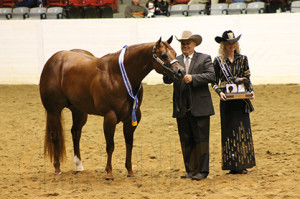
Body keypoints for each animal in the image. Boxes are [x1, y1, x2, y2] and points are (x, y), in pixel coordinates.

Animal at [39, 36, 185, 180]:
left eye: (175, 53)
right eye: (164, 55)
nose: (181, 72)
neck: (117, 76)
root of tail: (54, 59)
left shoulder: (132, 118)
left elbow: (129, 144)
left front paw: (130, 171)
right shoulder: (110, 117)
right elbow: (110, 146)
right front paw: (109, 173)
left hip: (79, 111)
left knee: (75, 132)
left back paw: (79, 166)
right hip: (53, 111)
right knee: (55, 136)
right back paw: (57, 168)